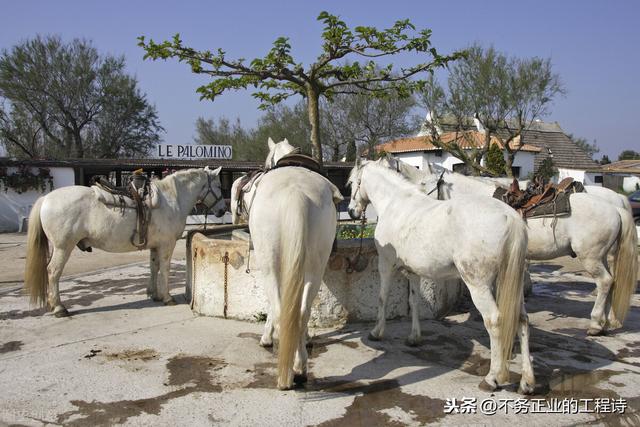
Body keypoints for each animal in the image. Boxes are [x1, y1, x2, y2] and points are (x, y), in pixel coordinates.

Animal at [23, 167, 228, 318]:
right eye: (219, 185)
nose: (221, 210)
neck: (172, 199)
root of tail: (46, 198)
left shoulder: (155, 245)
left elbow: (154, 267)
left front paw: (153, 294)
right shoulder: (166, 245)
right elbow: (165, 269)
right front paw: (167, 297)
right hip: (62, 247)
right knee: (53, 272)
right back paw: (59, 308)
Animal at [239, 139, 340, 390]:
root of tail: (296, 192)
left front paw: (266, 337)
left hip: (268, 262)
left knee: (278, 308)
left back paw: (285, 372)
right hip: (315, 265)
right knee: (301, 312)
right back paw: (300, 368)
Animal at [348, 158, 532, 394]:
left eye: (352, 182)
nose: (352, 212)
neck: (395, 204)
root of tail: (510, 217)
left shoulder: (385, 265)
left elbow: (382, 298)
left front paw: (377, 332)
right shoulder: (413, 272)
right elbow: (414, 301)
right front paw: (414, 338)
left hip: (479, 285)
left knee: (494, 320)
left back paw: (493, 378)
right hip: (509, 284)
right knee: (522, 320)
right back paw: (527, 382)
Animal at [382, 156, 636, 334]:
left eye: (424, 184)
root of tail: (617, 207)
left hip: (591, 257)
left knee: (605, 281)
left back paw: (595, 324)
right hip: (601, 255)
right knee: (612, 281)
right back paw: (607, 320)